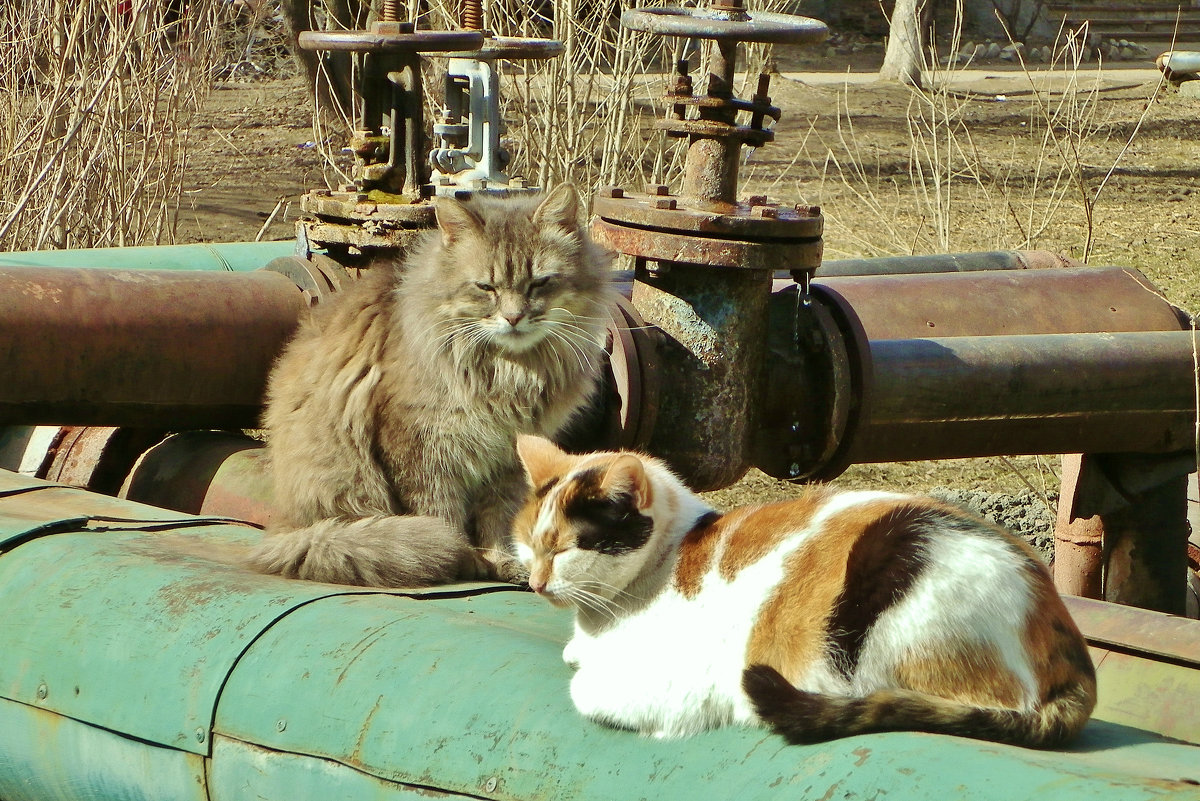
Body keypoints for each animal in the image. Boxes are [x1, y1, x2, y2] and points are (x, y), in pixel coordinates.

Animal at [248, 184, 614, 585]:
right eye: (486, 288)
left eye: (539, 283)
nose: (514, 318)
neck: (508, 372)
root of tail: (283, 526)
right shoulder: (422, 446)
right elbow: (441, 512)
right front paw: (461, 557)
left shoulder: (508, 461)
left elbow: (498, 519)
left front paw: (501, 561)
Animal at [511, 434, 1094, 748]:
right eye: (528, 543)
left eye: (563, 549)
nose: (536, 583)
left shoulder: (684, 678)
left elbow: (585, 690)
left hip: (895, 563)